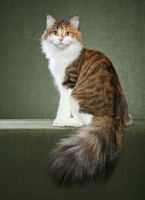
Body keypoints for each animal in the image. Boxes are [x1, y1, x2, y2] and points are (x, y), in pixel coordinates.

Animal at [40, 14, 133, 183]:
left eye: (67, 33)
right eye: (56, 33)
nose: (61, 39)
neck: (61, 55)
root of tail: (114, 116)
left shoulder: (68, 84)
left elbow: (62, 106)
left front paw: (59, 120)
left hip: (76, 98)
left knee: (85, 122)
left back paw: (68, 122)